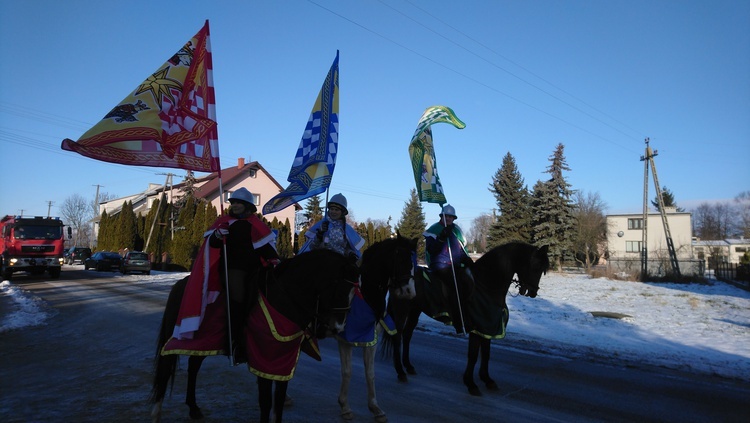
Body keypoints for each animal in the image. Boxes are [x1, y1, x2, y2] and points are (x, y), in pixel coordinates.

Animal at [151, 248, 362, 423]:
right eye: (340, 290)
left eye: (355, 294)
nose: (336, 329)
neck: (282, 301)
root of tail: (181, 283)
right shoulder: (264, 360)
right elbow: (266, 402)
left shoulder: (283, 362)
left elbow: (278, 402)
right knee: (164, 369)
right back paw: (157, 412)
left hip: (203, 343)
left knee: (193, 367)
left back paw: (194, 408)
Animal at [334, 234, 418, 422]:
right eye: (399, 258)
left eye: (412, 262)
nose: (409, 292)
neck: (366, 294)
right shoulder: (345, 340)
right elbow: (347, 371)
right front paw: (345, 406)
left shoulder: (371, 339)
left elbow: (370, 373)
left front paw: (375, 408)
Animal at [384, 242, 548, 398]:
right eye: (535, 266)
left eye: (542, 270)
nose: (533, 292)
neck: (486, 284)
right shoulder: (476, 328)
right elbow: (473, 355)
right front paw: (471, 383)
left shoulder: (487, 328)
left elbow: (486, 354)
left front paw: (487, 379)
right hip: (401, 310)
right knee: (398, 337)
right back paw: (400, 371)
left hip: (415, 311)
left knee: (407, 335)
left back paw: (408, 366)